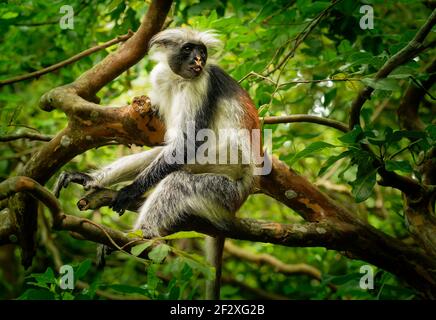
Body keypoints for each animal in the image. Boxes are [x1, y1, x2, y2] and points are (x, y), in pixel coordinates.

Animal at [55, 28, 266, 300]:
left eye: (202, 51)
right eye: (188, 49)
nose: (198, 60)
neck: (179, 80)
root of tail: (245, 192)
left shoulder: (201, 84)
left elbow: (186, 145)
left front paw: (130, 191)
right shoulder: (162, 78)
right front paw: (95, 180)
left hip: (224, 191)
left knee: (180, 179)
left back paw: (143, 237)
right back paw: (94, 182)